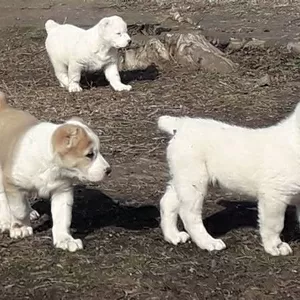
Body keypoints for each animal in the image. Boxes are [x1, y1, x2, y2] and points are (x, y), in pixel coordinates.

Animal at [0, 92, 110, 252]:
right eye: (90, 154)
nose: (108, 170)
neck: (50, 164)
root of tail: (4, 107)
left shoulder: (62, 191)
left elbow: (62, 219)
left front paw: (65, 239)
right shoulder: (12, 183)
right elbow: (19, 209)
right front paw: (20, 227)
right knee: (3, 197)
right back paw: (6, 220)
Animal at [158, 104, 300, 256]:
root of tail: (182, 124)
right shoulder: (274, 196)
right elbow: (275, 224)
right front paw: (275, 246)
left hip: (182, 178)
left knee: (167, 202)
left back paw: (173, 235)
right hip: (194, 180)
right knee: (189, 214)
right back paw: (208, 242)